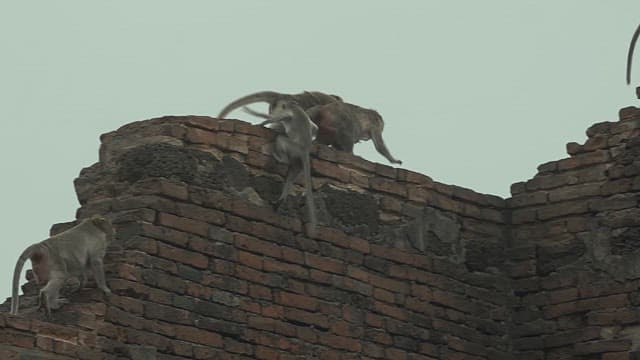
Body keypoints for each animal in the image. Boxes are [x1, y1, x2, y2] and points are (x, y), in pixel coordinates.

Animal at [250, 100, 320, 236]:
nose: (272, 110)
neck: (294, 106)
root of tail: (304, 150)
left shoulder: (287, 114)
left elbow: (278, 118)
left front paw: (260, 121)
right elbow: (315, 127)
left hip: (293, 148)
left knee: (281, 139)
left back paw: (281, 159)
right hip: (298, 163)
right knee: (290, 176)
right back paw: (280, 201)